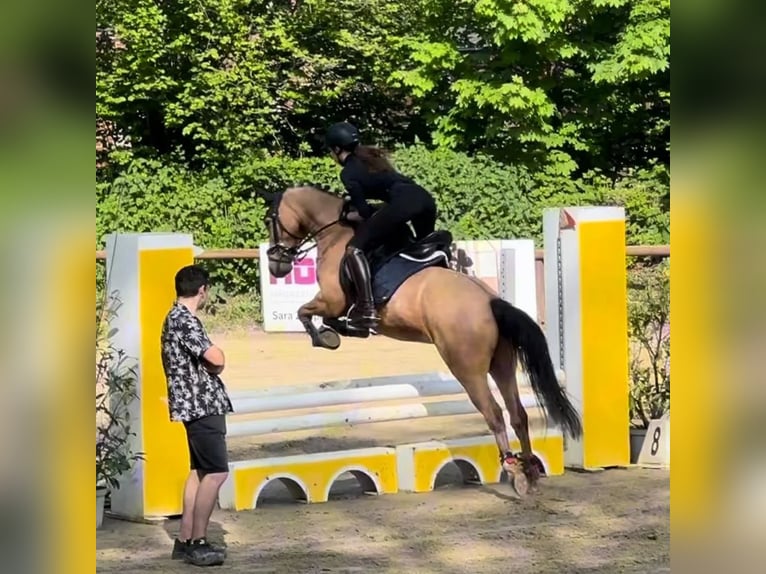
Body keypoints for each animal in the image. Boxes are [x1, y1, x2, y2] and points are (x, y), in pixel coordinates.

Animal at [260, 187, 584, 498]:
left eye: (268, 221)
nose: (276, 267)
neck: (337, 232)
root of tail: (491, 301)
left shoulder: (331, 300)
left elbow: (305, 312)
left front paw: (327, 337)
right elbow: (315, 315)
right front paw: (337, 330)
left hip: (466, 369)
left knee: (494, 413)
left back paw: (513, 469)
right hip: (502, 364)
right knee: (518, 413)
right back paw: (529, 474)